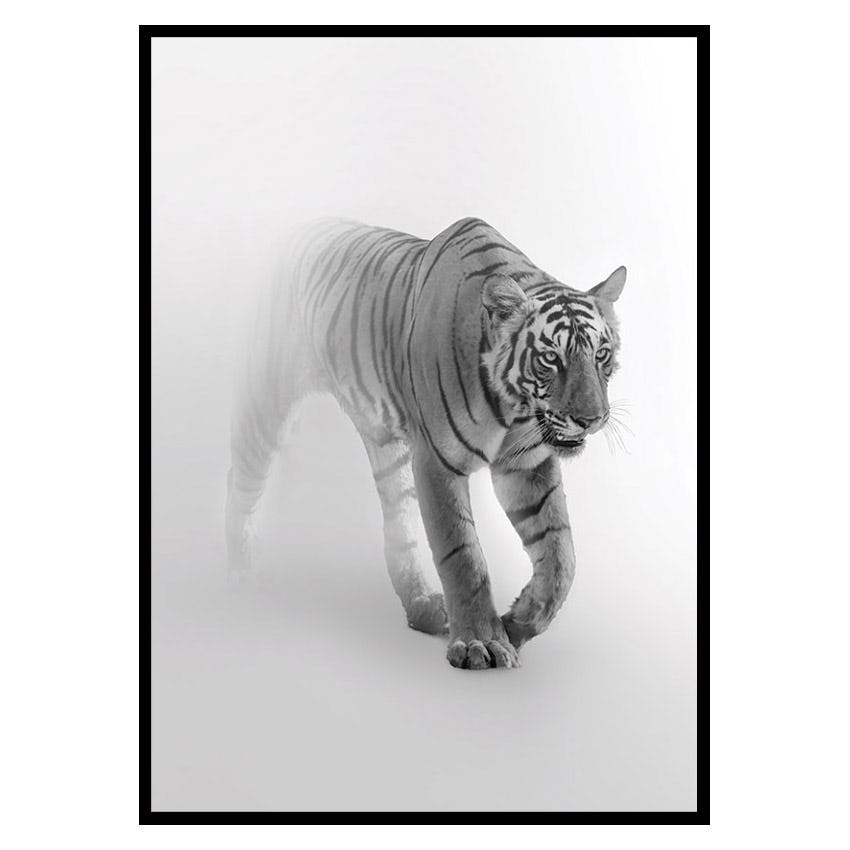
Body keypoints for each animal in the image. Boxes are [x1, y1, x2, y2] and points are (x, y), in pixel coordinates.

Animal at [225, 216, 626, 670]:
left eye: (601, 354)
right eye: (551, 358)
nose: (591, 419)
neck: (513, 408)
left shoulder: (525, 464)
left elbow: (561, 555)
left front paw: (518, 623)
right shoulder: (437, 460)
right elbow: (463, 555)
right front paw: (481, 642)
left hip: (388, 448)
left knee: (399, 528)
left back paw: (422, 607)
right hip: (267, 398)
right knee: (241, 478)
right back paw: (240, 569)